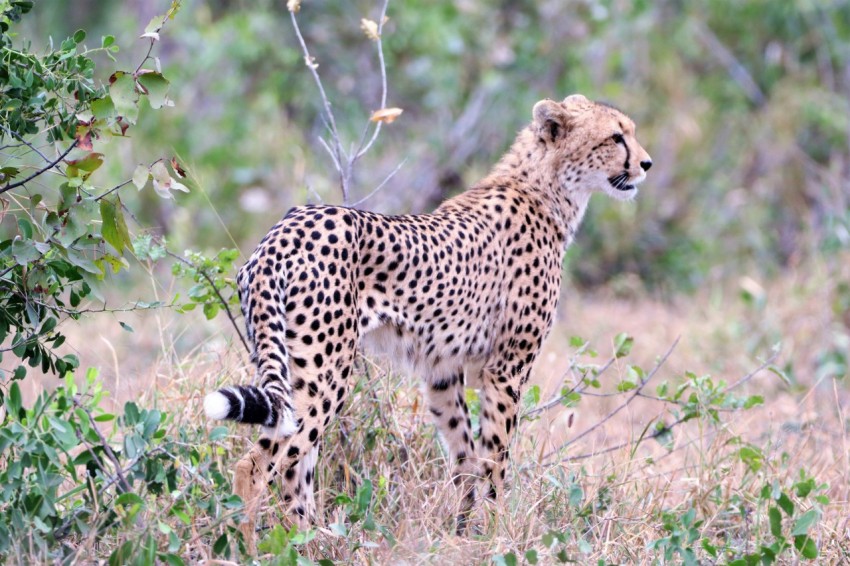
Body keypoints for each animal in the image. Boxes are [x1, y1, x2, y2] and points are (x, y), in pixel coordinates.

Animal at [203, 94, 652, 546]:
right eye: (616, 137)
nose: (646, 164)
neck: (546, 188)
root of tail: (280, 231)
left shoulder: (442, 372)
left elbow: (465, 458)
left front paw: (461, 531)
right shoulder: (507, 368)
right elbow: (495, 460)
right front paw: (496, 533)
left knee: (295, 468)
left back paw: (313, 541)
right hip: (325, 372)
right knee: (256, 466)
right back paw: (253, 546)